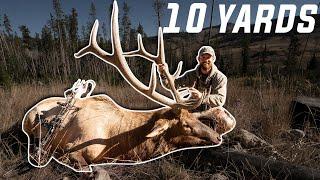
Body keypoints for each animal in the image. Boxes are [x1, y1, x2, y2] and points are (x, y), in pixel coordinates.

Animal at [21, 1, 235, 173]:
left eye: (194, 118)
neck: (120, 144)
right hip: (29, 121)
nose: (218, 137)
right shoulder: (72, 147)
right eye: (185, 125)